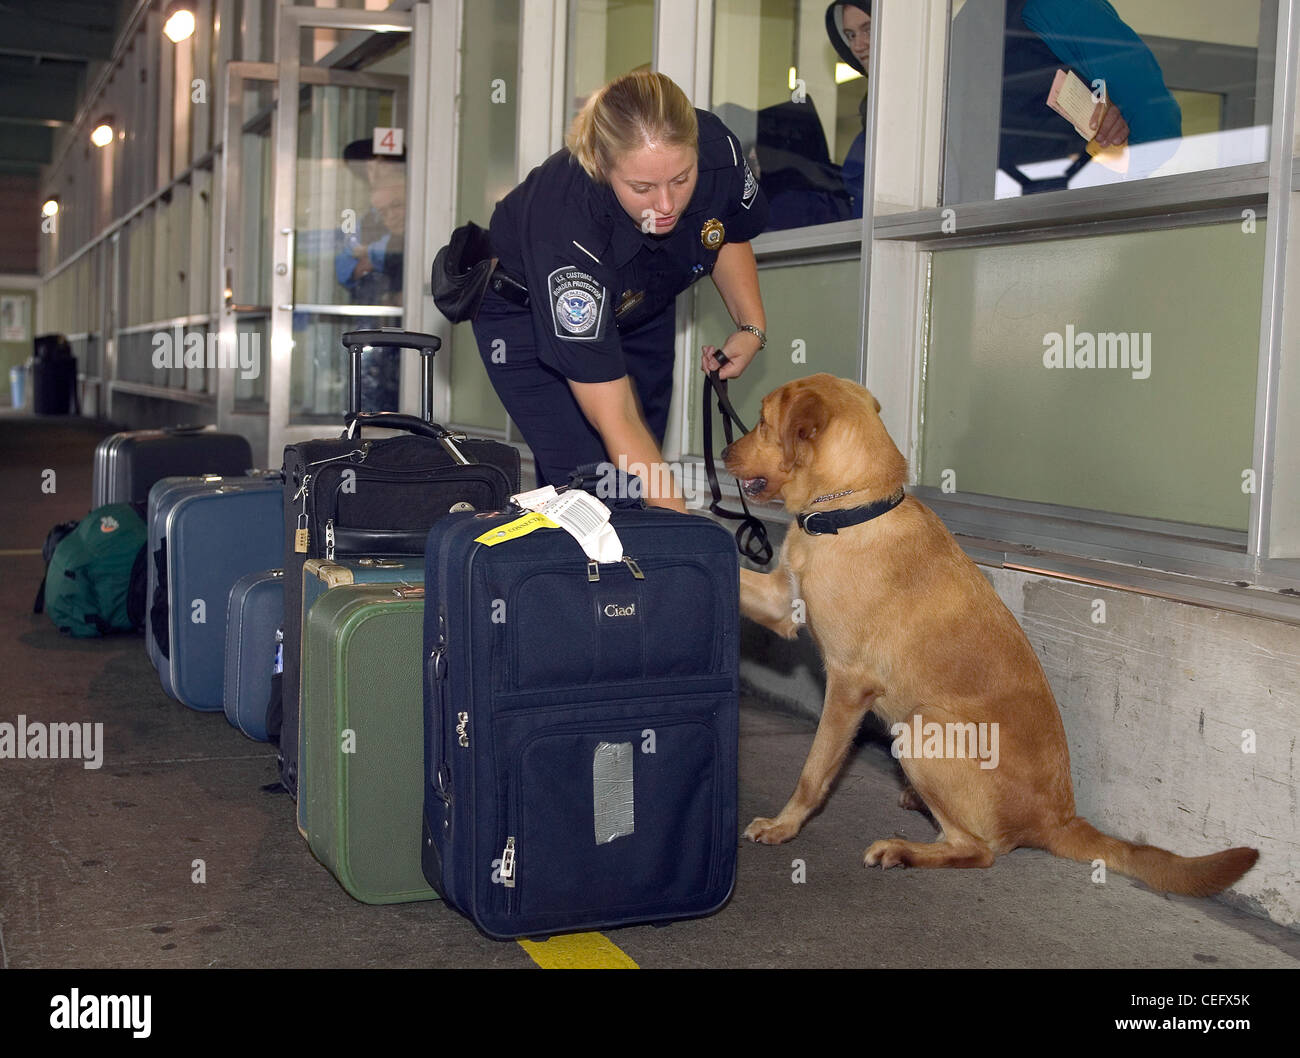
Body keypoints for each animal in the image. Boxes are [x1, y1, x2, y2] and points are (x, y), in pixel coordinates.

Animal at [728, 371, 1253, 894]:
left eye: (761, 421)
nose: (725, 452)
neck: (850, 509)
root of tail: (1061, 820)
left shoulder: (848, 685)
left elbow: (814, 771)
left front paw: (784, 825)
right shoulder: (781, 605)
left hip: (921, 726)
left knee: (977, 851)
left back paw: (904, 849)